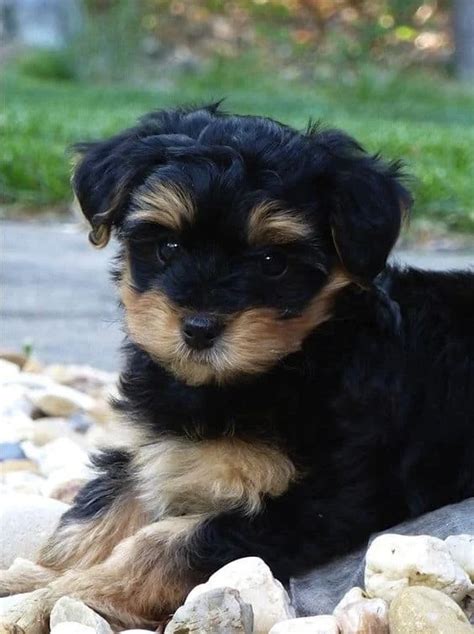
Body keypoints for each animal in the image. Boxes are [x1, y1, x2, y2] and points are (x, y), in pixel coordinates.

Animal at [0, 103, 474, 628]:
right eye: (168, 248)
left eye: (271, 262)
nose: (199, 327)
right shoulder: (151, 450)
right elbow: (96, 514)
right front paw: (36, 579)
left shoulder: (320, 501)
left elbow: (167, 542)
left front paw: (67, 593)